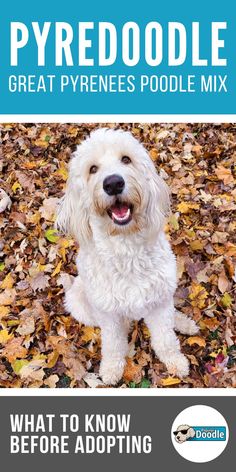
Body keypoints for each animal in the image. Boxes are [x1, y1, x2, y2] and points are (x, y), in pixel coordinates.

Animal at [56, 128, 198, 384]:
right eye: (93, 169)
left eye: (126, 159)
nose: (113, 183)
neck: (126, 248)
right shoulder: (108, 313)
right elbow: (113, 343)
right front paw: (112, 368)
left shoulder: (160, 301)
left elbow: (165, 337)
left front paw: (175, 361)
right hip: (78, 301)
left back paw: (183, 322)